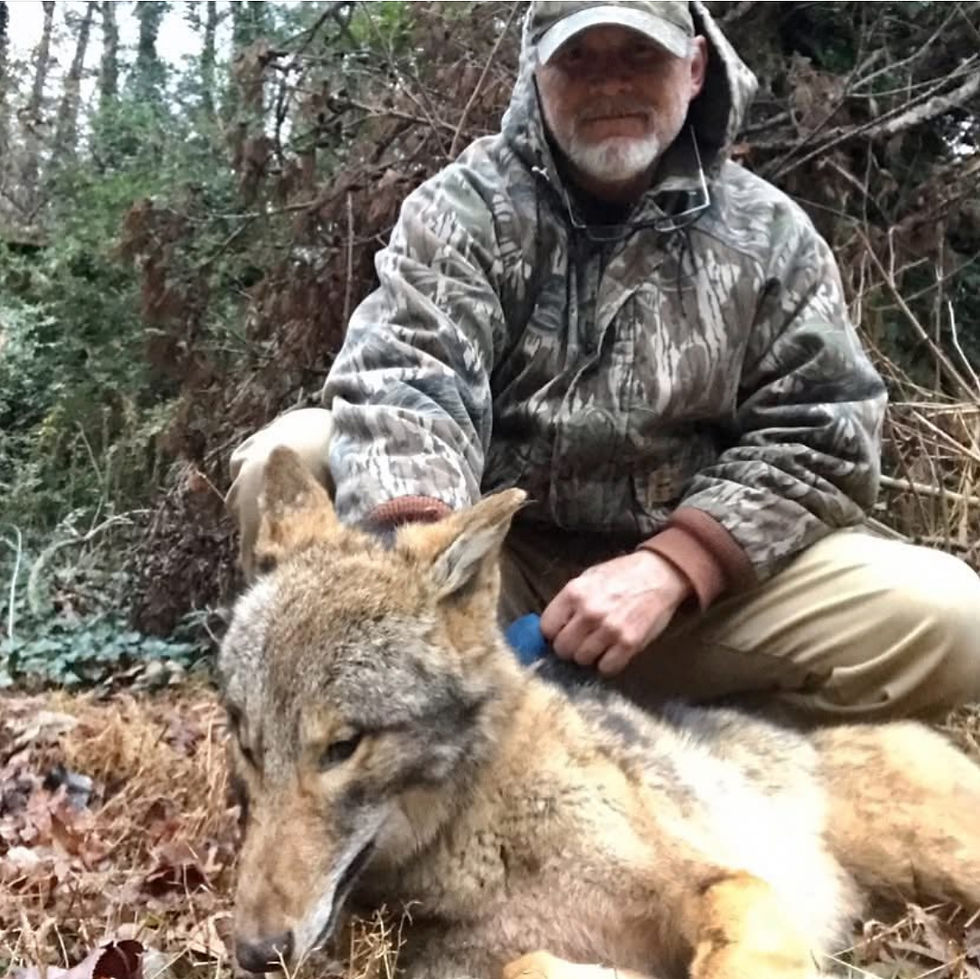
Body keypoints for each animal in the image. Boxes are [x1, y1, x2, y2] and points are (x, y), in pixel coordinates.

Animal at [218, 447, 980, 979]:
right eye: (249, 747)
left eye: (342, 746)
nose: (255, 952)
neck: (485, 841)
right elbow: (528, 963)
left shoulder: (724, 881)